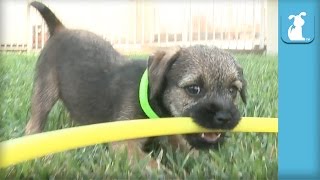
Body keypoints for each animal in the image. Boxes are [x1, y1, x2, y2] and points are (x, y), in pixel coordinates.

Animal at [26, 1, 248, 161]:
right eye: (194, 89)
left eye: (233, 91)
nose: (225, 117)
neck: (155, 104)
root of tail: (60, 29)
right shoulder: (124, 145)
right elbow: (153, 165)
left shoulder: (174, 132)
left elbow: (188, 149)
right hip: (45, 90)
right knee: (34, 121)